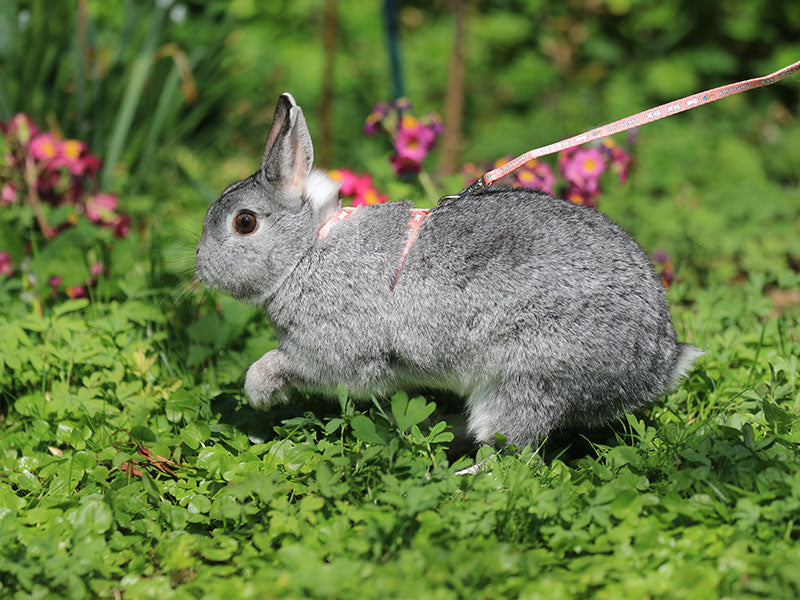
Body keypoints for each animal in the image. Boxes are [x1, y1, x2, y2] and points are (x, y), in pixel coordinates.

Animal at [195, 92, 702, 450]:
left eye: (244, 223)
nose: (201, 269)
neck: (308, 250)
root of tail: (658, 365)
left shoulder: (333, 349)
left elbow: (287, 364)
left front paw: (258, 390)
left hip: (527, 375)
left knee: (508, 450)